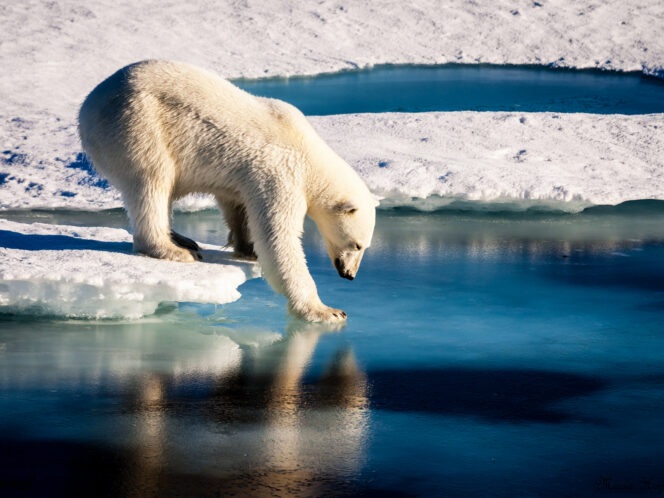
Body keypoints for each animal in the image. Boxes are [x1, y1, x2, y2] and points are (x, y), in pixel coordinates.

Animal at [79, 60, 374, 322]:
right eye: (357, 244)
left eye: (364, 246)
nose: (349, 274)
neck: (309, 154)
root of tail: (87, 106)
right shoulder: (281, 175)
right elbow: (279, 239)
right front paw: (325, 310)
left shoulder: (246, 177)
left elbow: (237, 205)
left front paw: (247, 248)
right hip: (138, 125)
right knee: (152, 182)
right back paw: (173, 249)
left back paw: (182, 239)